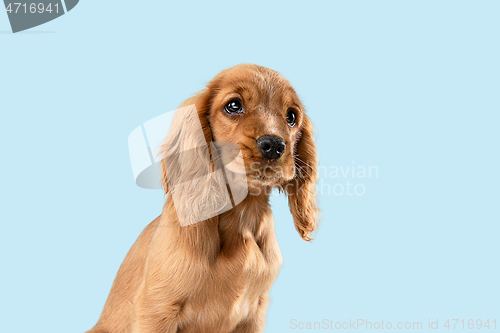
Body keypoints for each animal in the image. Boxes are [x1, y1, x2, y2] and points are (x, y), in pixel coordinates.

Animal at [86, 63, 318, 330]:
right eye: (234, 105)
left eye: (291, 117)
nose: (274, 145)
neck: (242, 216)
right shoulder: (156, 309)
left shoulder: (255, 312)